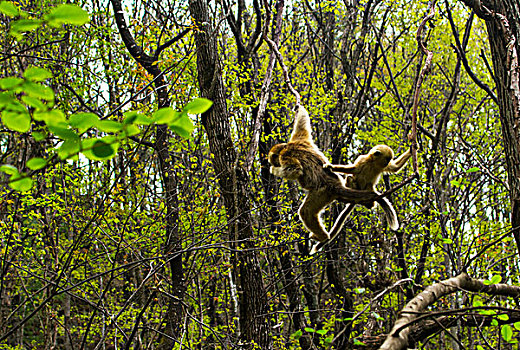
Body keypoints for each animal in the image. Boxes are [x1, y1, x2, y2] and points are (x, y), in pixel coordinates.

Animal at [268, 106, 378, 242]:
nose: (271, 162)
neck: (286, 147)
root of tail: (335, 185)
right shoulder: (300, 139)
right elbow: (303, 124)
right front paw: (298, 108)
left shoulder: (285, 155)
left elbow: (296, 169)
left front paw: (273, 169)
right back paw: (368, 202)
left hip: (323, 192)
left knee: (306, 211)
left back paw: (323, 236)